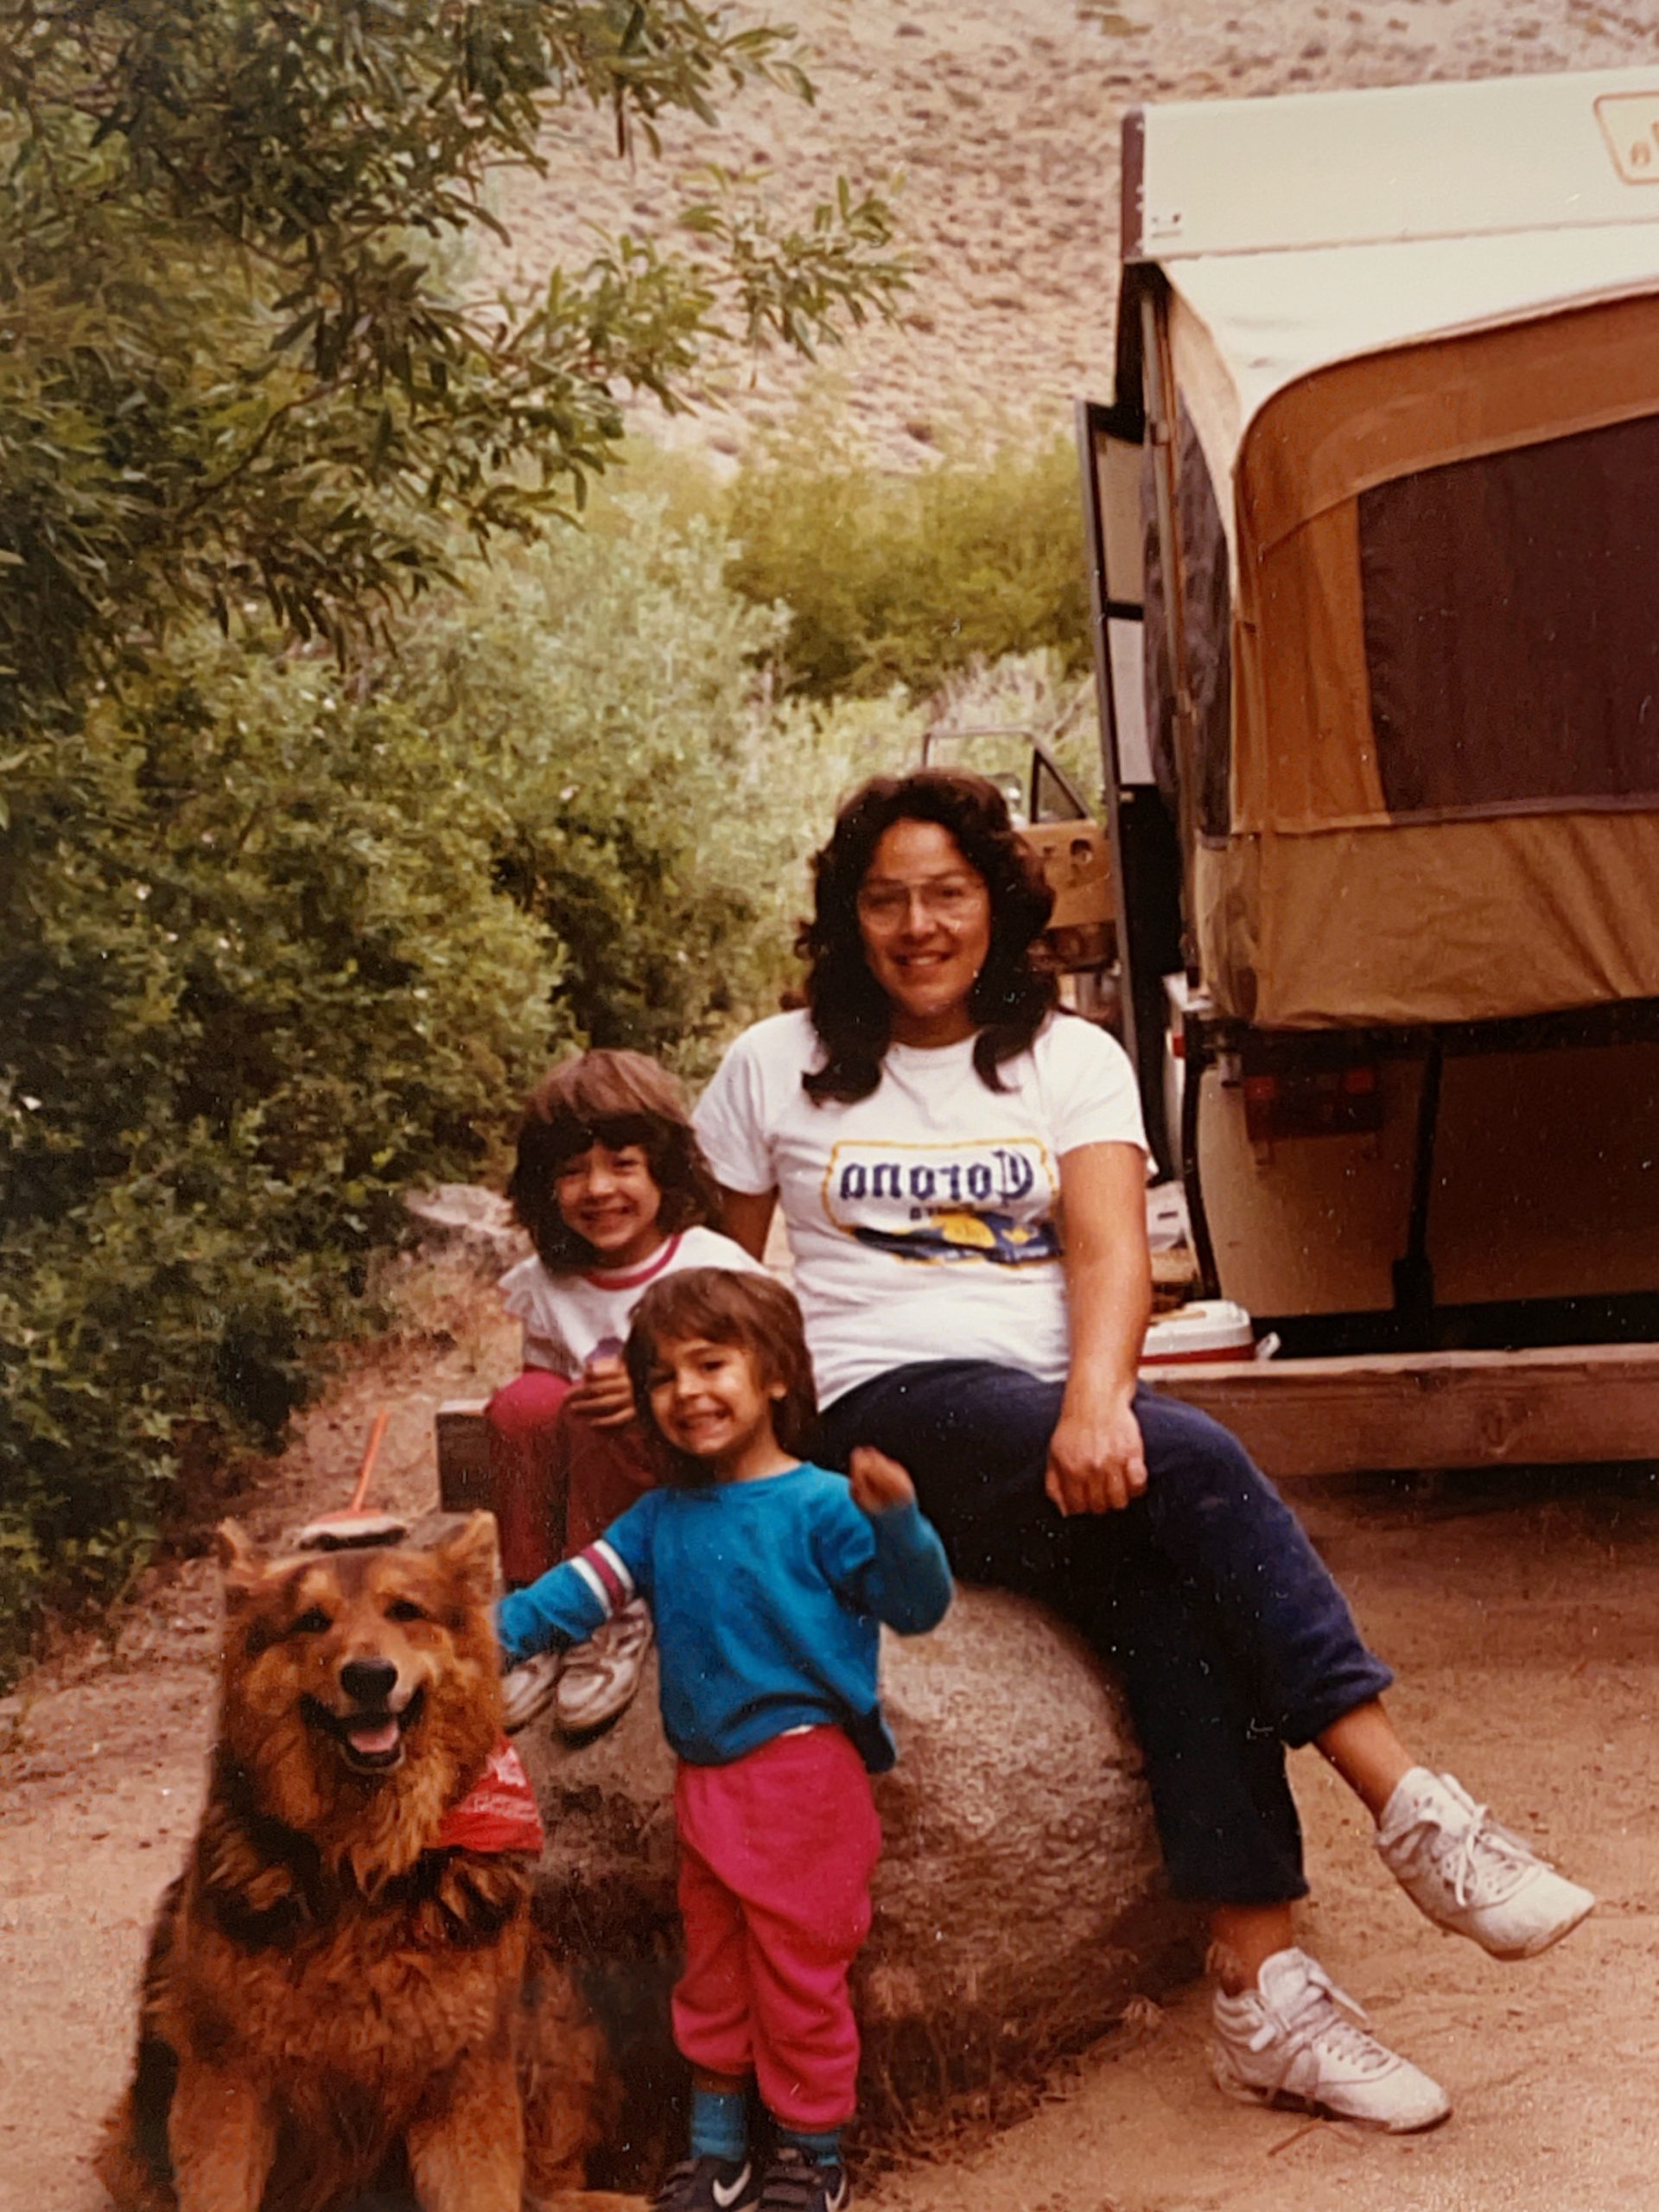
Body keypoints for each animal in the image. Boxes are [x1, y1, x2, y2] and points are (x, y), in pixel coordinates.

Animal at [97, 1522, 641, 2212]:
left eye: (404, 1611)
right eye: (311, 1620)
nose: (369, 1677)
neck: (364, 1859)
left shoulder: (467, 2089)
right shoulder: (226, 2089)